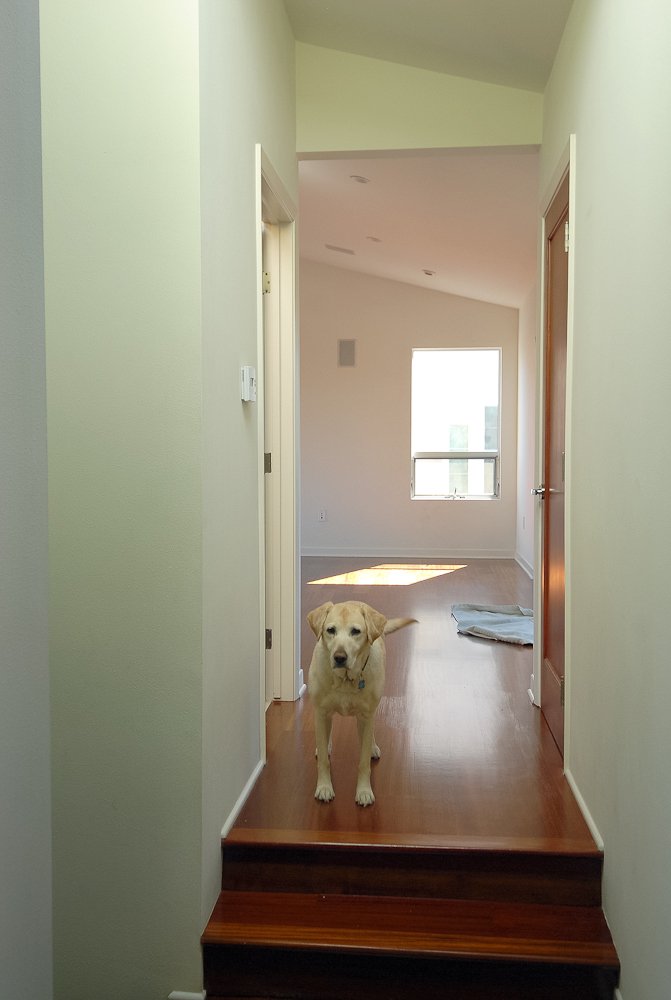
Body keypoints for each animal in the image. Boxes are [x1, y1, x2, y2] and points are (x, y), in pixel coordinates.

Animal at [307, 600, 416, 807]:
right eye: (330, 630)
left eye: (356, 631)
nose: (339, 657)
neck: (345, 679)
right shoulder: (321, 711)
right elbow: (323, 760)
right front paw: (324, 787)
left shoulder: (366, 716)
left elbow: (364, 762)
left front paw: (364, 791)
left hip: (371, 711)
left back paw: (372, 747)